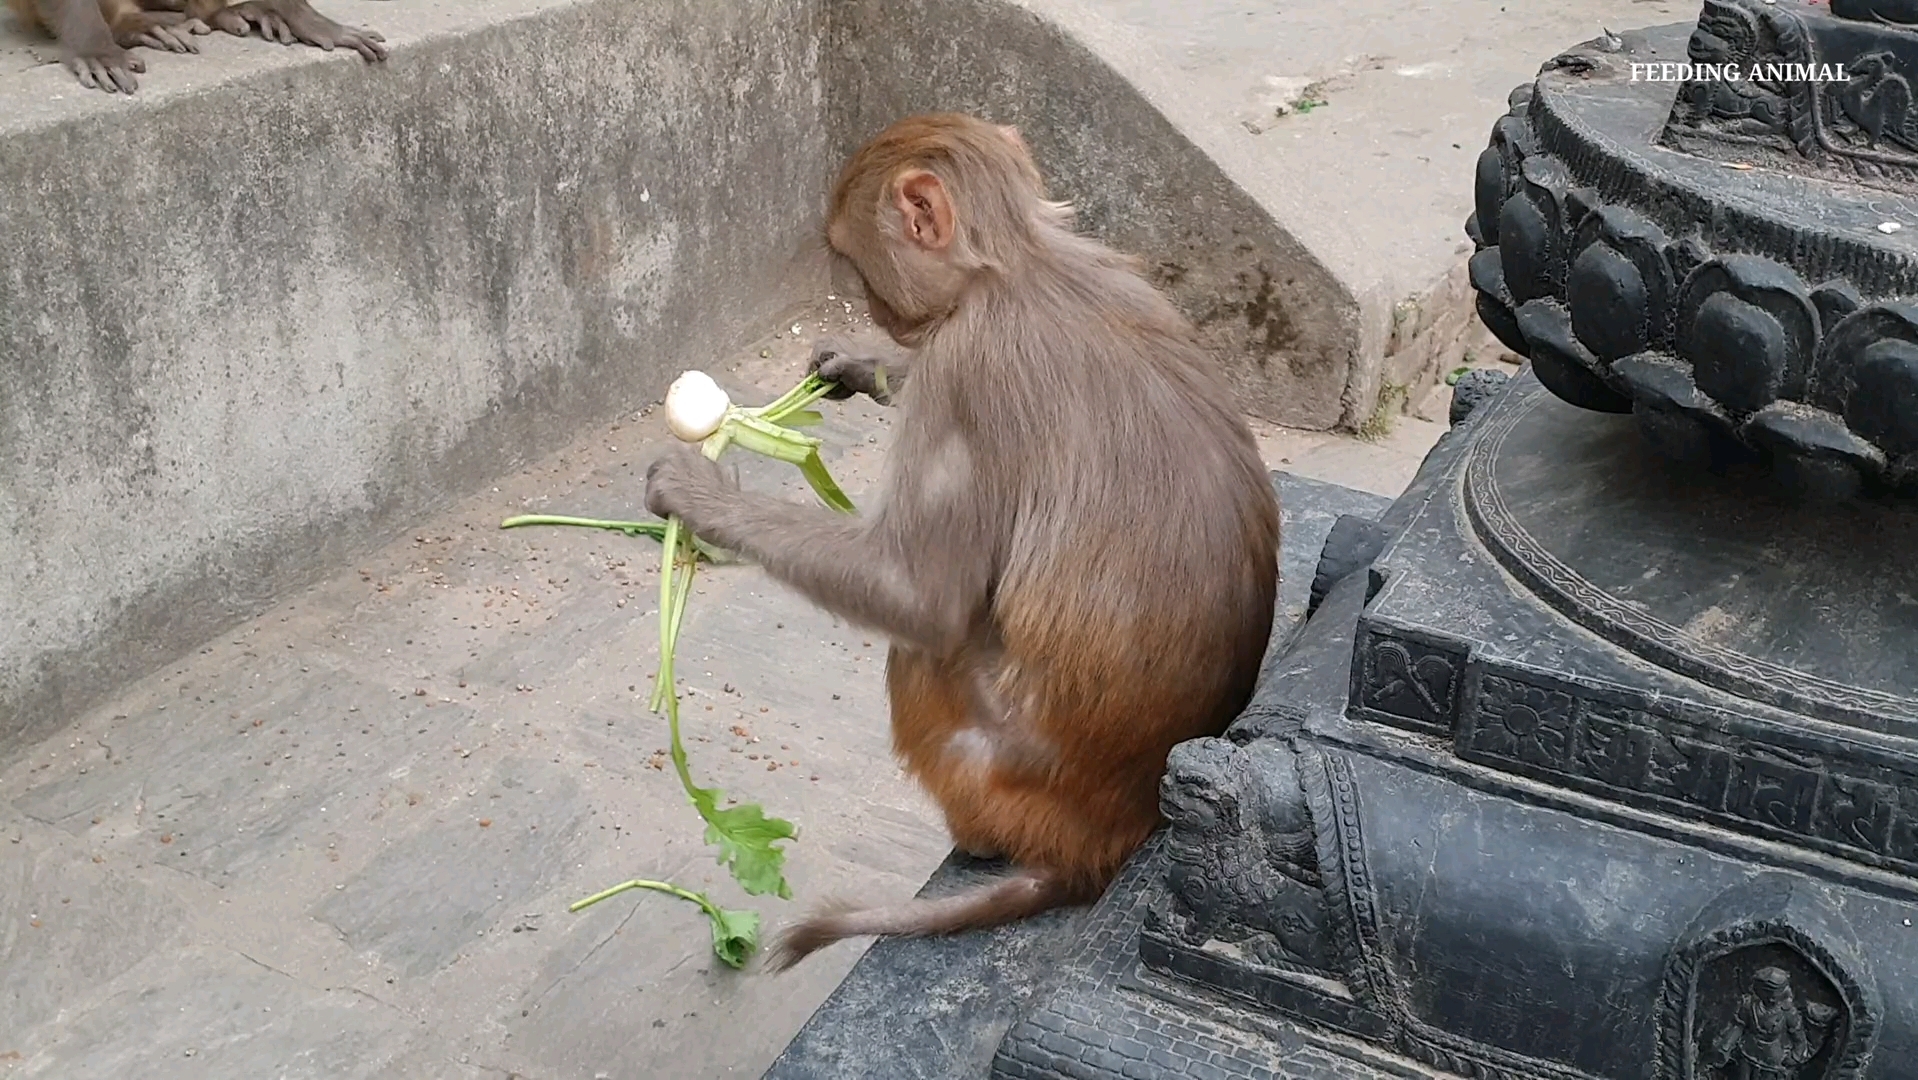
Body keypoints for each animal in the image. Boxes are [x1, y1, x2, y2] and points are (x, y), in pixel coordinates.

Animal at [648, 116, 1288, 970]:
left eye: (852, 256)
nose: (878, 313)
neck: (1019, 265)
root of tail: (1106, 842)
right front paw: (861, 364)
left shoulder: (966, 371)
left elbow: (920, 596)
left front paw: (699, 495)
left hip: (985, 761)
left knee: (923, 648)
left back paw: (978, 839)